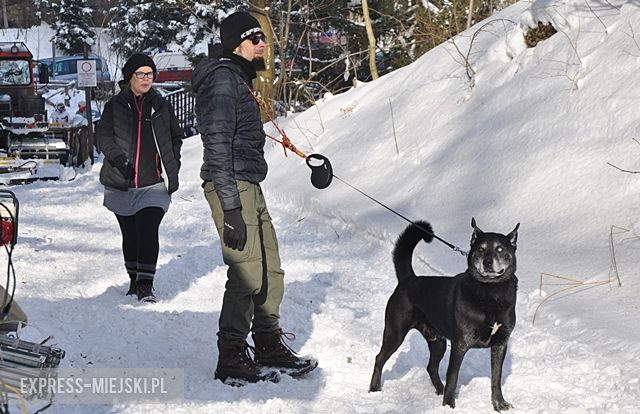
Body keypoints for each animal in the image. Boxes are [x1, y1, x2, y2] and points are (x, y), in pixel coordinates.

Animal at [370, 218, 520, 412]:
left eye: (500, 249)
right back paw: (374, 388)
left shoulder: (500, 344)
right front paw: (449, 405)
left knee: (431, 367)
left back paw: (439, 390)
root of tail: (408, 279)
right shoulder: (460, 344)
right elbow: (453, 377)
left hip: (437, 342)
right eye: (481, 248)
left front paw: (499, 404)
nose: (487, 262)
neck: (491, 292)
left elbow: (496, 378)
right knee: (379, 358)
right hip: (395, 333)